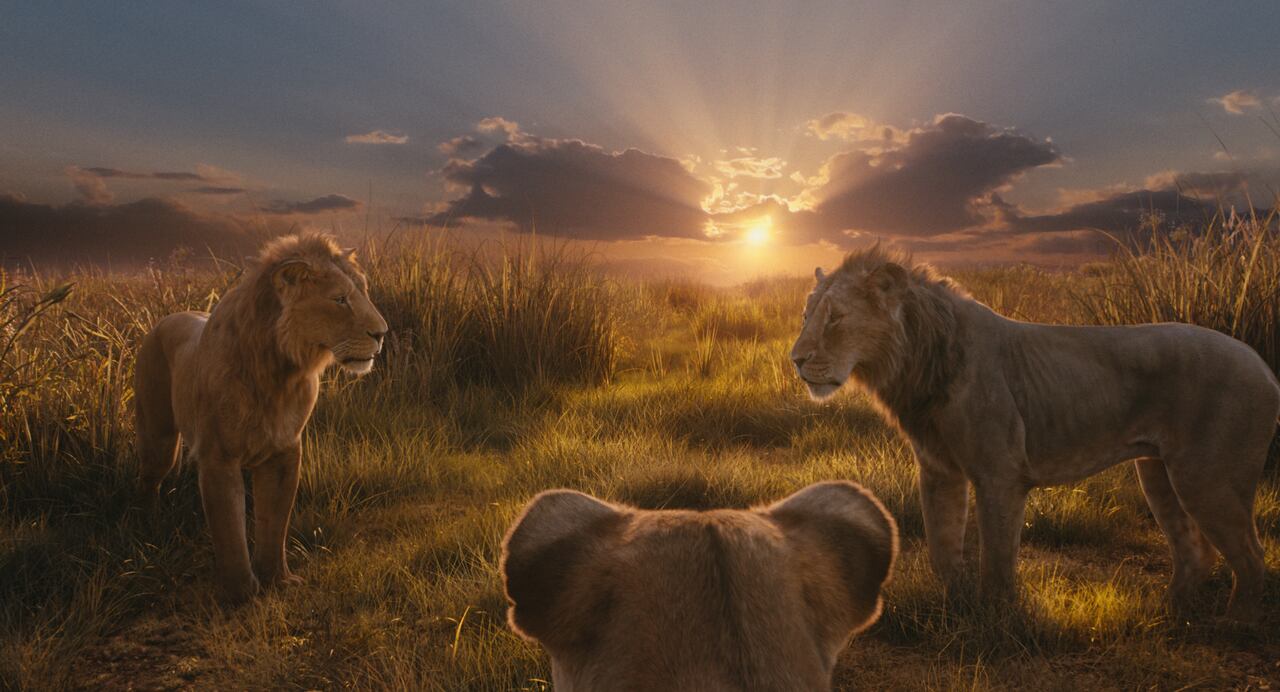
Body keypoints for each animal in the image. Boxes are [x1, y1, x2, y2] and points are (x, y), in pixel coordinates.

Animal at [134, 232, 388, 603]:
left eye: (364, 292)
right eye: (340, 299)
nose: (382, 333)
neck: (280, 372)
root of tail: (167, 318)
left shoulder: (285, 451)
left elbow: (274, 522)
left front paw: (277, 579)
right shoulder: (218, 457)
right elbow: (229, 528)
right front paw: (240, 592)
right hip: (159, 439)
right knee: (149, 480)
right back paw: (148, 529)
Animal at [790, 246, 1280, 620]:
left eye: (835, 318)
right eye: (806, 314)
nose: (795, 359)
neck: (917, 362)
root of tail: (1263, 365)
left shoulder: (1000, 474)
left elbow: (996, 560)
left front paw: (994, 621)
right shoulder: (938, 471)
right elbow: (942, 549)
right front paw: (956, 609)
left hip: (1206, 478)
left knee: (1251, 557)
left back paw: (1233, 626)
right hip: (1157, 472)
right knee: (1197, 553)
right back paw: (1167, 616)